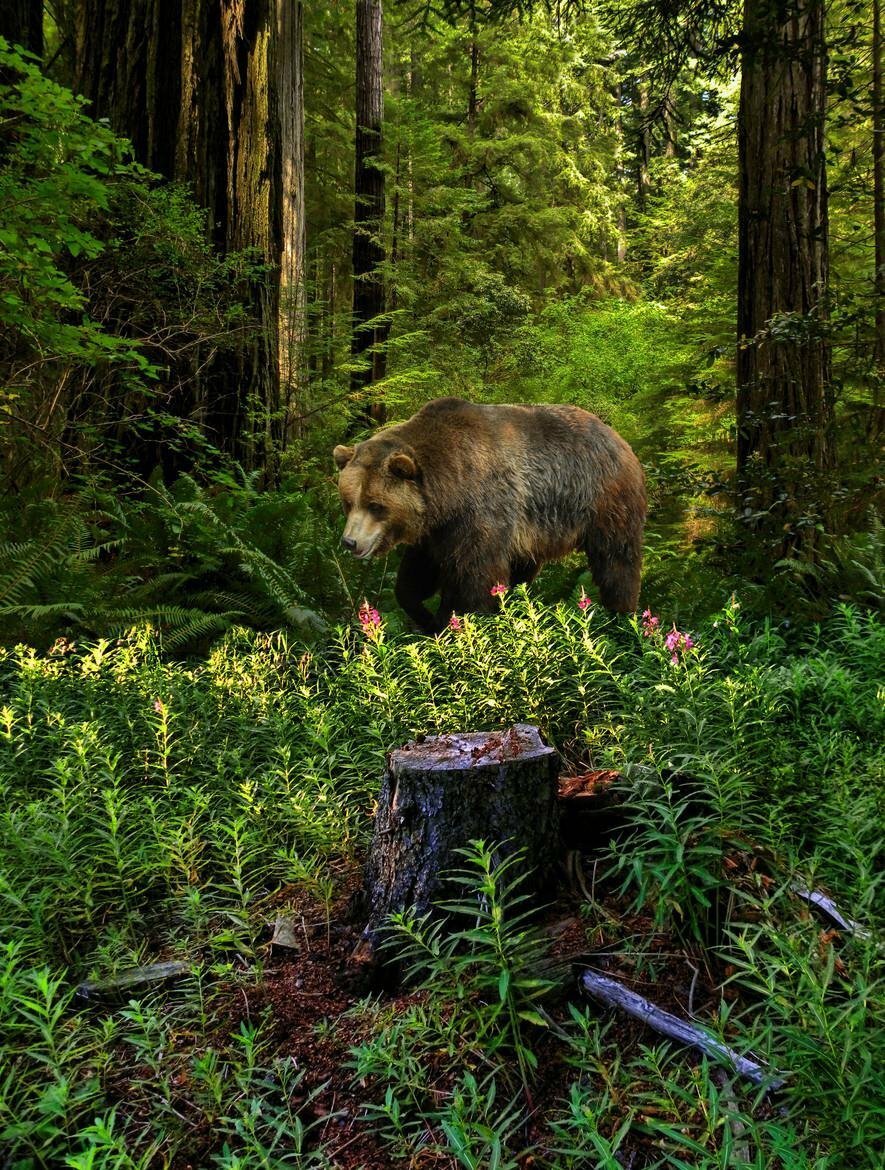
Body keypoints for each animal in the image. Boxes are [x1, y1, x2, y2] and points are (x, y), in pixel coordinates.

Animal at [333, 397, 646, 634]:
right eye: (348, 502)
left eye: (376, 505)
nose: (350, 542)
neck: (448, 491)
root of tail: (618, 438)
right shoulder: (437, 531)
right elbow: (415, 577)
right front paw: (426, 615)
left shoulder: (481, 514)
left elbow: (478, 580)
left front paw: (457, 622)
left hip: (605, 501)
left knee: (617, 561)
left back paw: (622, 616)